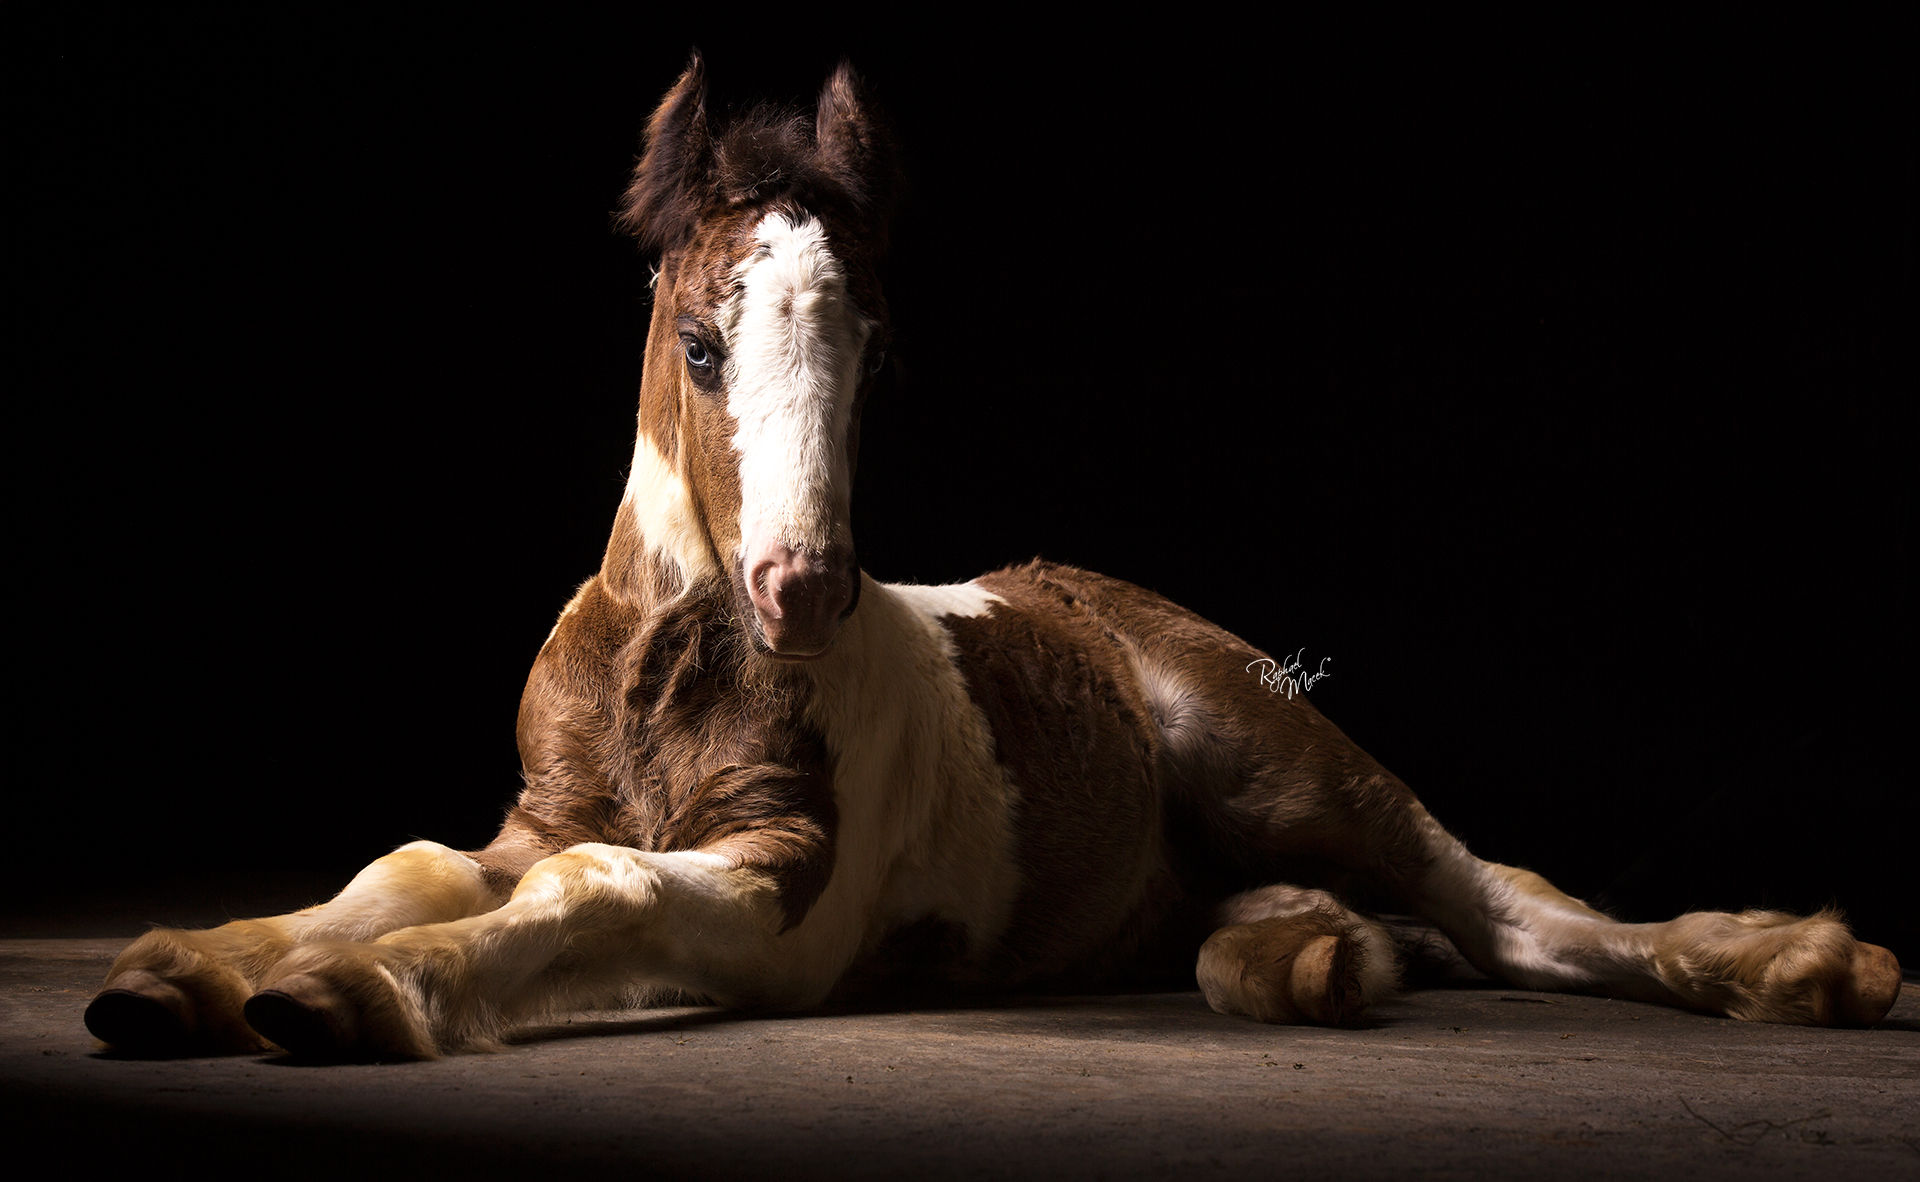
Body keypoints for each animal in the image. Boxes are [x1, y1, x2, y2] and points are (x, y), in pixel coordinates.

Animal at [86, 59, 1904, 1059]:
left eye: (878, 352)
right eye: (700, 340)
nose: (804, 594)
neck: (671, 663)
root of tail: (1092, 595)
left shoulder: (783, 892)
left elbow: (589, 885)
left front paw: (357, 997)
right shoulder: (524, 816)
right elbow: (410, 863)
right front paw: (191, 967)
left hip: (1281, 758)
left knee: (1508, 903)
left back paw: (1800, 965)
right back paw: (1307, 958)